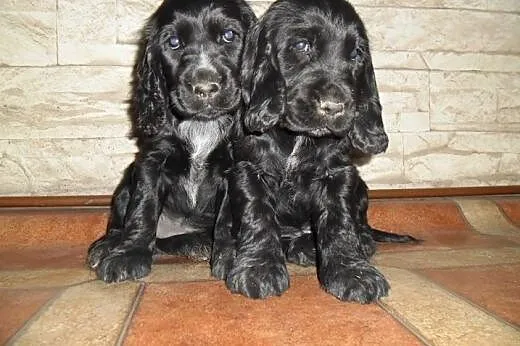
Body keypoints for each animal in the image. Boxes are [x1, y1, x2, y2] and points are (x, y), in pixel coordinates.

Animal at [88, 0, 256, 282]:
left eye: (229, 35)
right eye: (174, 42)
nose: (205, 88)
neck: (201, 123)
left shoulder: (234, 162)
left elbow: (228, 215)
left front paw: (232, 257)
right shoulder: (152, 158)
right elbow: (143, 207)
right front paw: (129, 255)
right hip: (125, 184)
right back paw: (107, 245)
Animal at [214, 0, 418, 302]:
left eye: (356, 54)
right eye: (302, 45)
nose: (334, 107)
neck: (298, 138)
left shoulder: (338, 173)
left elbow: (339, 222)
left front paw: (352, 272)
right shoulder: (249, 169)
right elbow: (257, 216)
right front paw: (259, 268)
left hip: (360, 187)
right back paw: (228, 256)